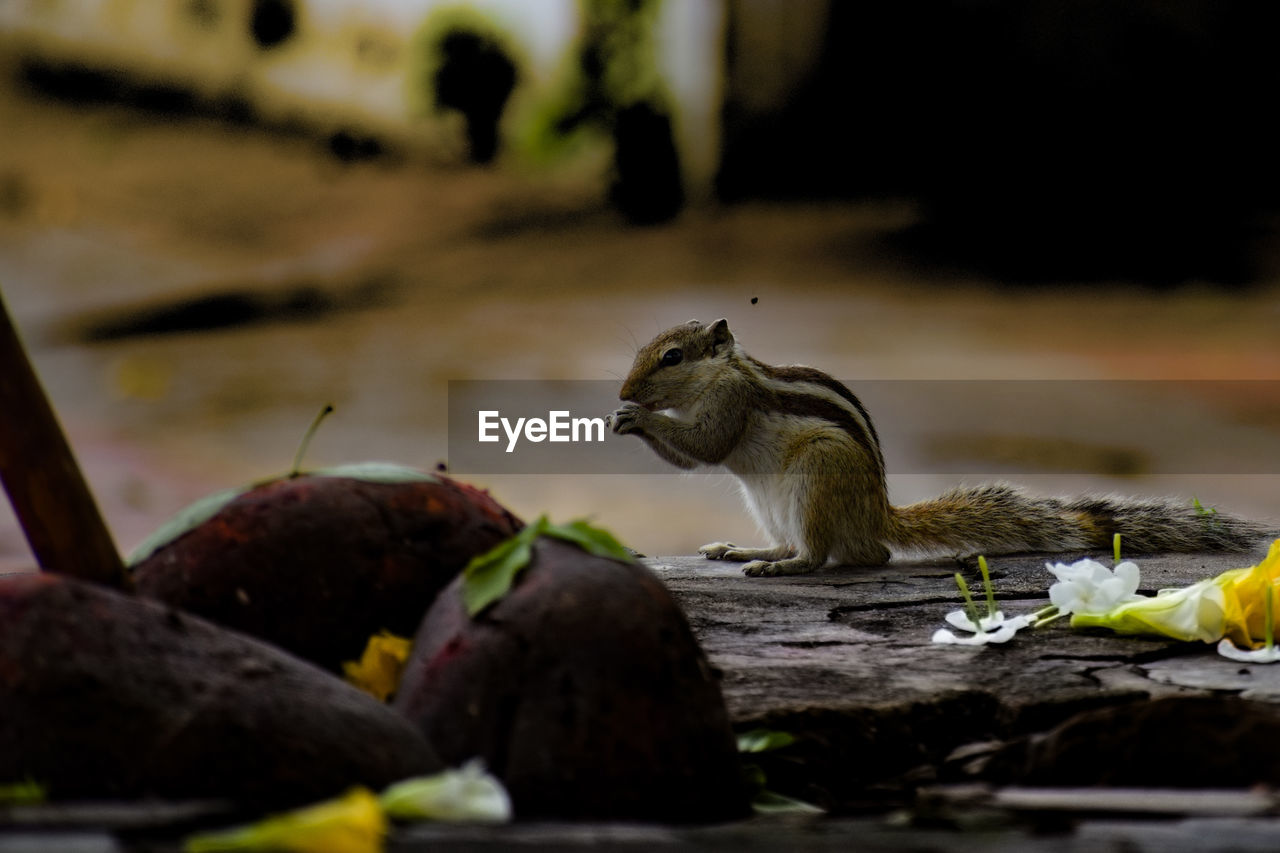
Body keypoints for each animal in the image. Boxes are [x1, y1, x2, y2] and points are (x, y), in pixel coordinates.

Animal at [604, 318, 1264, 578]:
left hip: (817, 475)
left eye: (672, 357)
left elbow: (706, 445)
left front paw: (639, 417)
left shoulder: (731, 403)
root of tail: (878, 515)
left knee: (837, 555)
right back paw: (744, 550)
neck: (723, 372)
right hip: (768, 502)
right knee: (816, 545)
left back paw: (782, 565)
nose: (624, 390)